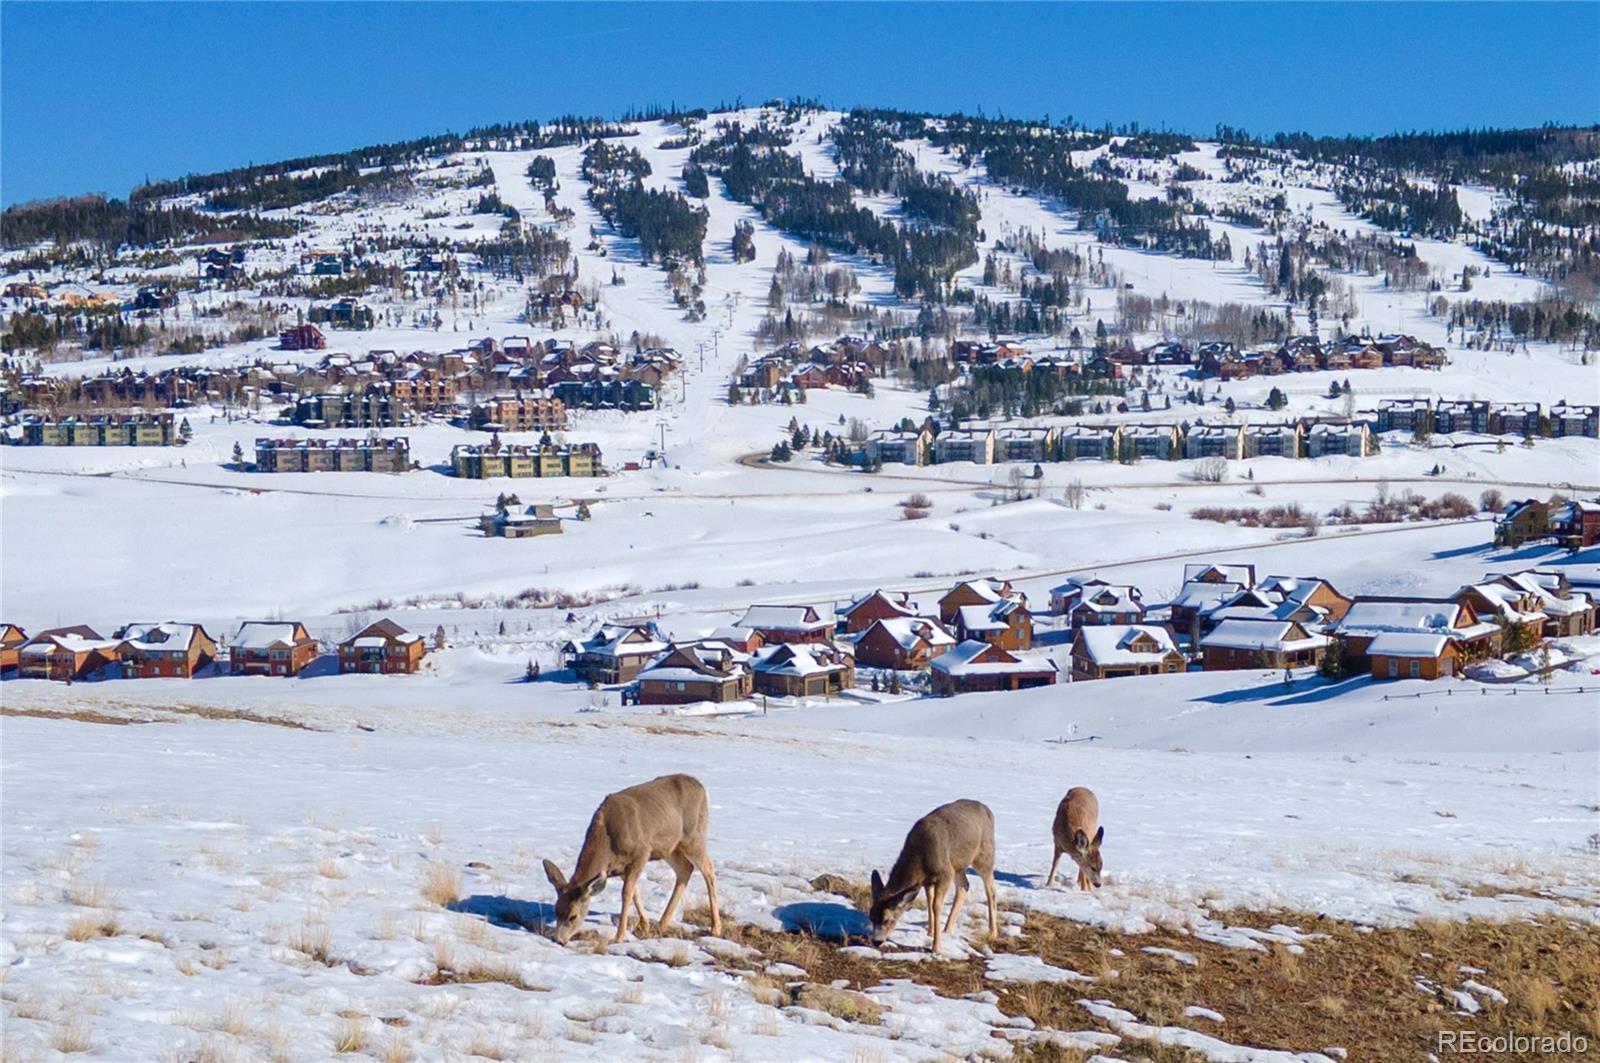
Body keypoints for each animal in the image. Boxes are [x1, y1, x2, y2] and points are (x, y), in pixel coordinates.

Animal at [550, 771, 726, 947]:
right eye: (556, 910)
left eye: (573, 916)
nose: (558, 940)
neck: (607, 841)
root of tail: (700, 786)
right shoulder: (620, 866)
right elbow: (635, 892)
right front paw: (645, 924)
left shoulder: (642, 852)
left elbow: (626, 892)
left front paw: (619, 936)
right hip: (669, 847)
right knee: (685, 869)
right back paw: (661, 924)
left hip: (693, 836)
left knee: (708, 870)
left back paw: (715, 928)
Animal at [870, 797, 992, 954]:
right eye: (871, 916)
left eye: (887, 920)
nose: (876, 941)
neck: (920, 857)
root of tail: (987, 809)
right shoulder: (927, 881)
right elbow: (929, 901)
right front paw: (930, 932)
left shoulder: (945, 873)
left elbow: (936, 905)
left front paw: (936, 947)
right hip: (958, 864)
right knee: (964, 886)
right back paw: (947, 929)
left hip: (984, 855)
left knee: (991, 890)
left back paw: (993, 933)